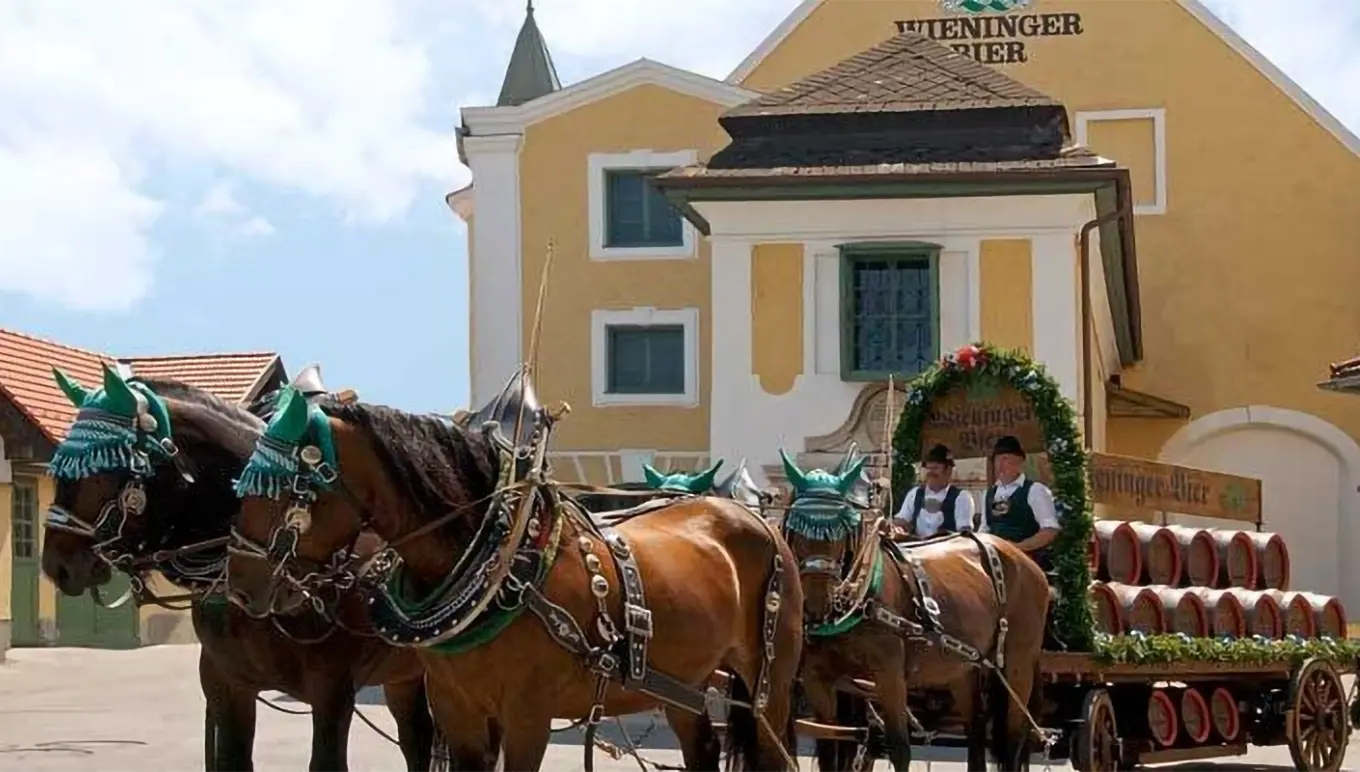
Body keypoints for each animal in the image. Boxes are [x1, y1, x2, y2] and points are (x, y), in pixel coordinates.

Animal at [38, 369, 440, 772]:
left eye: (102, 468)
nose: (57, 564)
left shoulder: (332, 691)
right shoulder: (227, 685)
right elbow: (232, 757)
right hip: (402, 677)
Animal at [227, 375, 799, 772]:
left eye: (284, 485)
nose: (238, 584)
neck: (498, 565)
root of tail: (757, 520)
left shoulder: (528, 717)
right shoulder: (457, 710)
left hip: (768, 682)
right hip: (687, 680)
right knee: (702, 745)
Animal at [777, 448, 1049, 772]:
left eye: (841, 531)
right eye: (796, 529)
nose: (817, 606)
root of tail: (1019, 555)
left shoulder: (889, 677)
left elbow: (898, 748)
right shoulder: (819, 681)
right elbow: (829, 749)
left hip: (1018, 664)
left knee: (1013, 738)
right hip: (962, 668)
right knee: (976, 729)